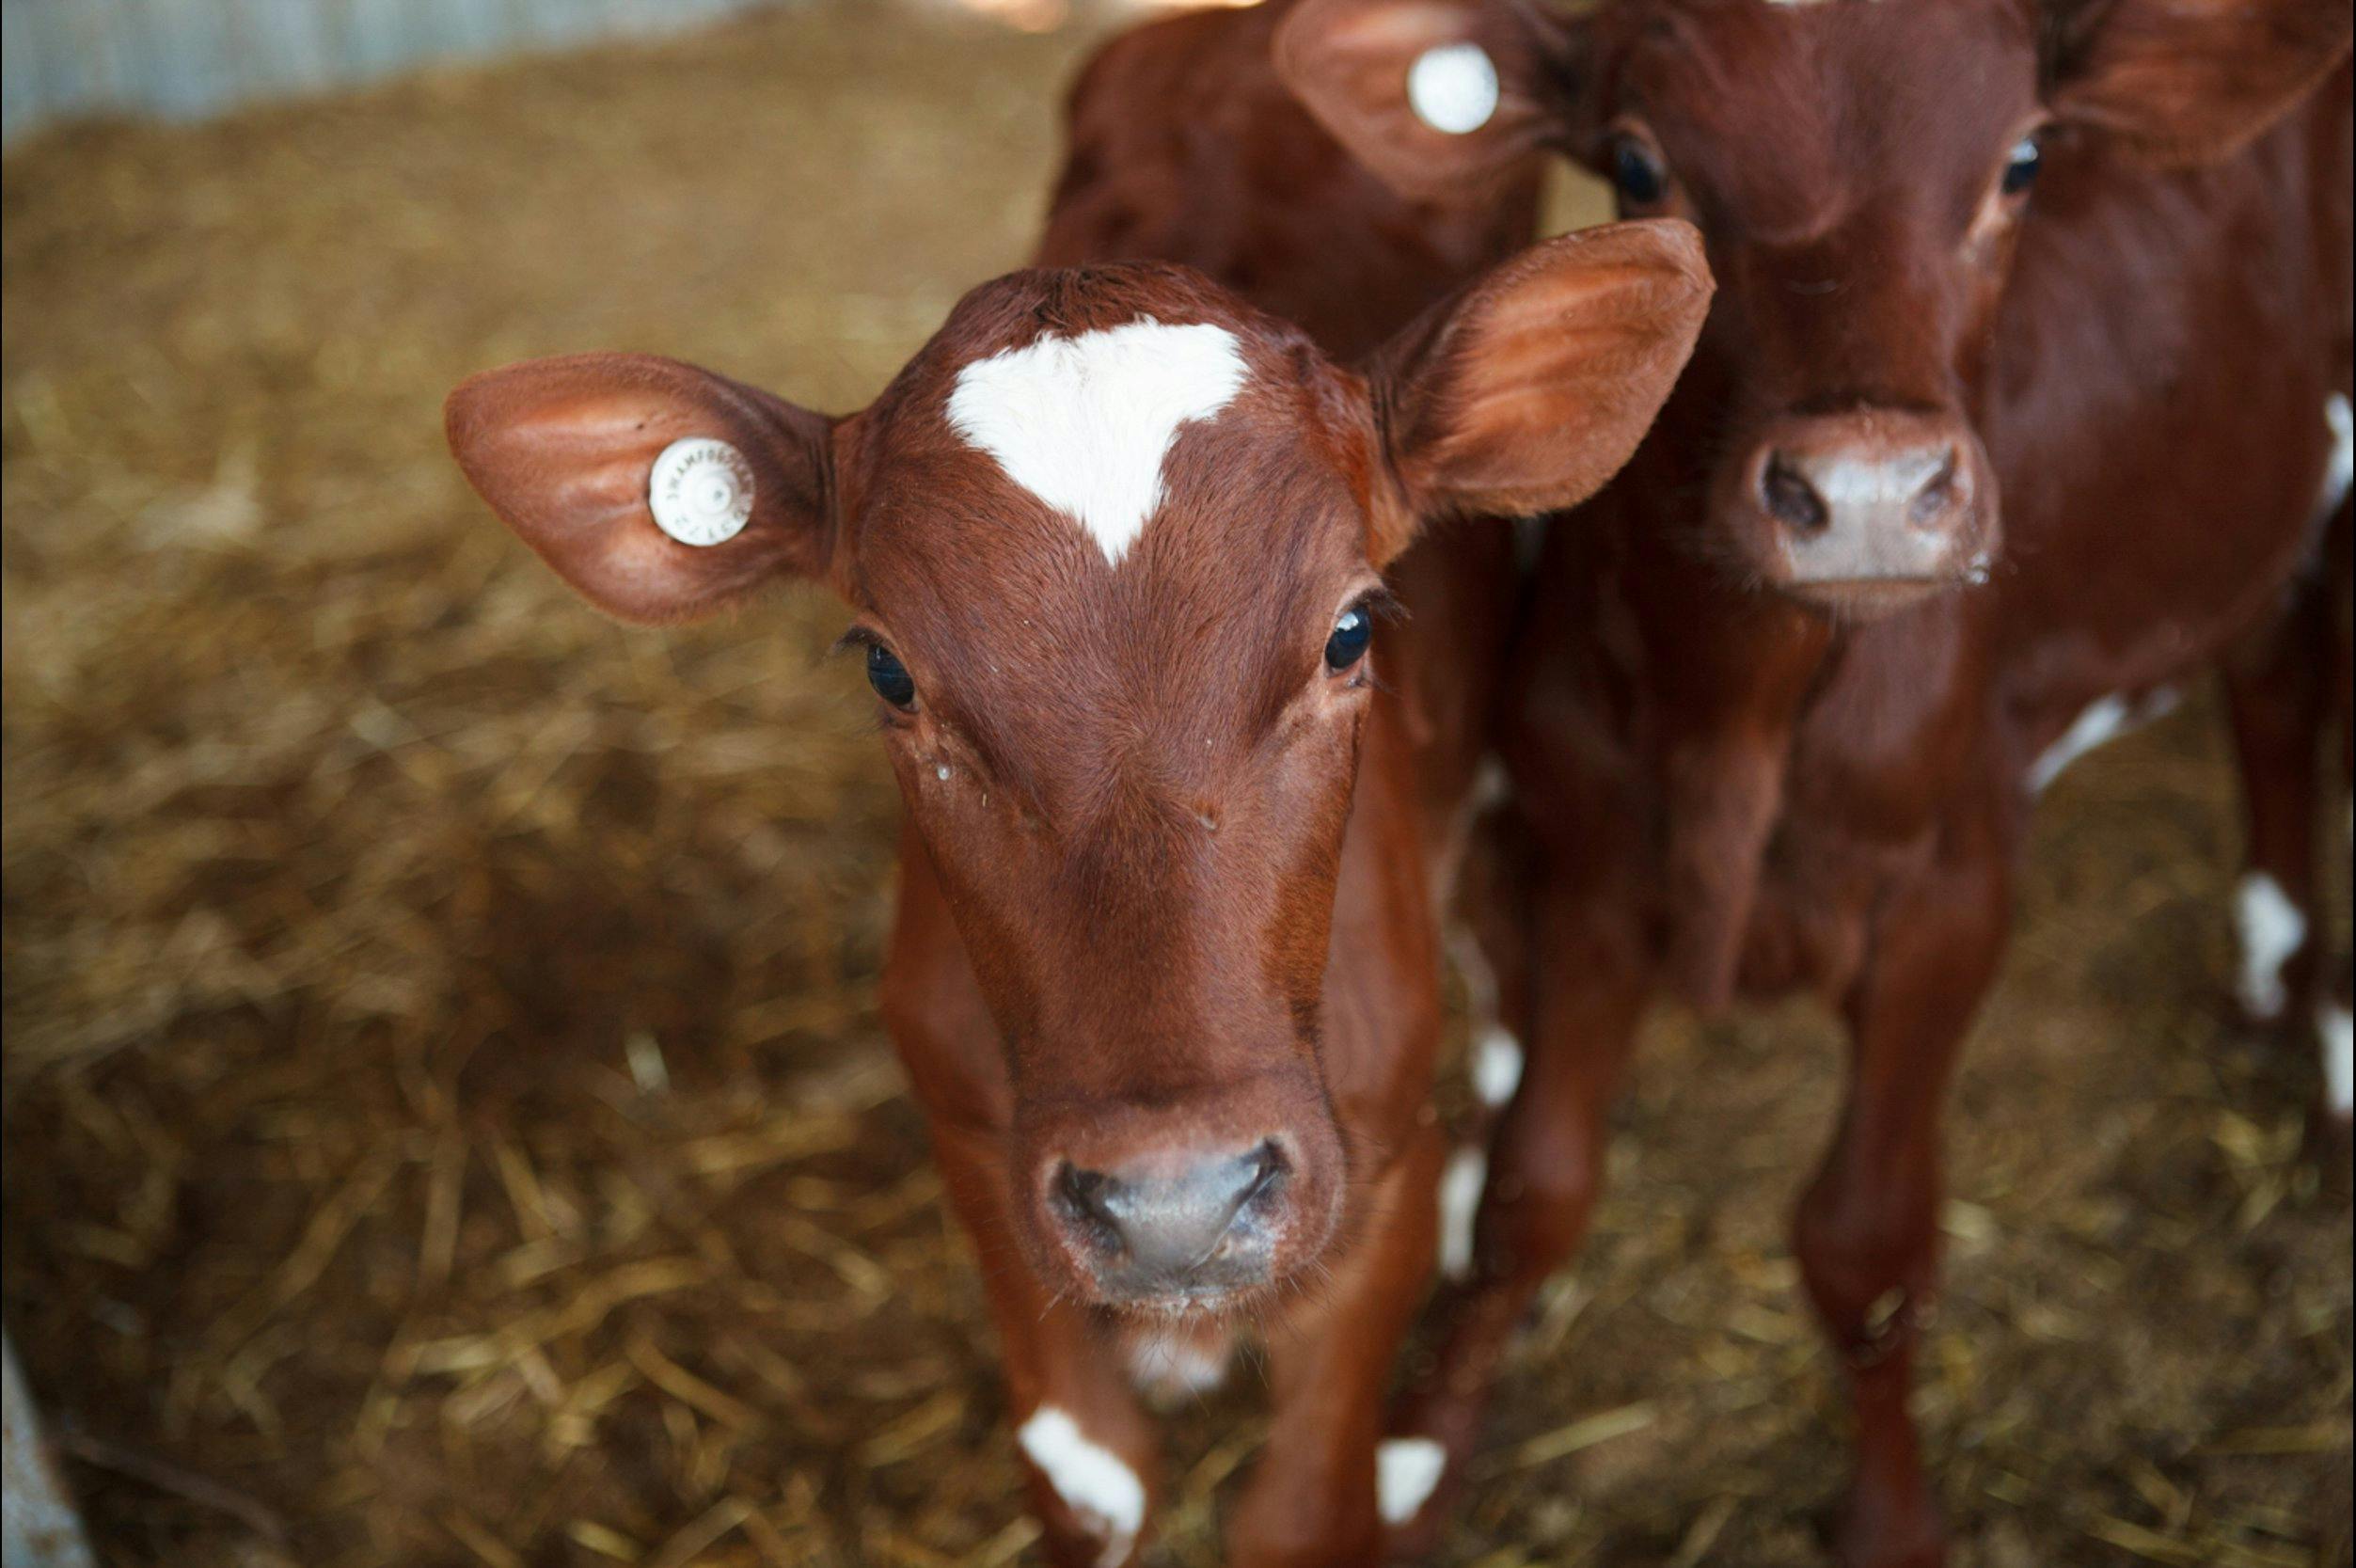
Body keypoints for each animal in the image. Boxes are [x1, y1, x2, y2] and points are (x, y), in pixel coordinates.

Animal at [443, 123, 1708, 1568]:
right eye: (888, 670)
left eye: (1350, 629)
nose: (1177, 1203)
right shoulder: (977, 1155)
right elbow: (1087, 1478)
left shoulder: (1377, 1171)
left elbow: (1301, 1510)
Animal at [1277, 0, 2355, 1562]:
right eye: (1638, 162)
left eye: (2024, 161)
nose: (1866, 493)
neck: (1737, 715)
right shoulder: (1590, 860)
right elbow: (1534, 1189)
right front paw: (1422, 1452)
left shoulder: (1949, 890)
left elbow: (1864, 1238)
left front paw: (1888, 1511)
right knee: (2272, 678)